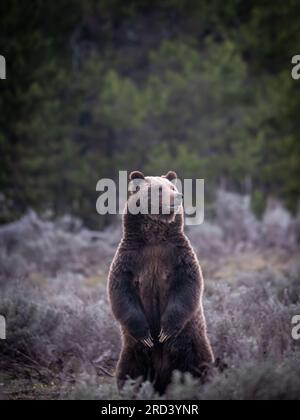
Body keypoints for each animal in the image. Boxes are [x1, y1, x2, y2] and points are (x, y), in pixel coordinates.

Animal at [109, 170, 214, 394]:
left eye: (172, 187)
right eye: (158, 189)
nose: (179, 196)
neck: (154, 236)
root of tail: (163, 377)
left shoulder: (178, 256)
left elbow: (187, 286)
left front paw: (165, 330)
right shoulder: (130, 259)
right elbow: (121, 292)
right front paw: (146, 334)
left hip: (191, 342)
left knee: (199, 365)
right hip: (133, 352)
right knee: (129, 371)